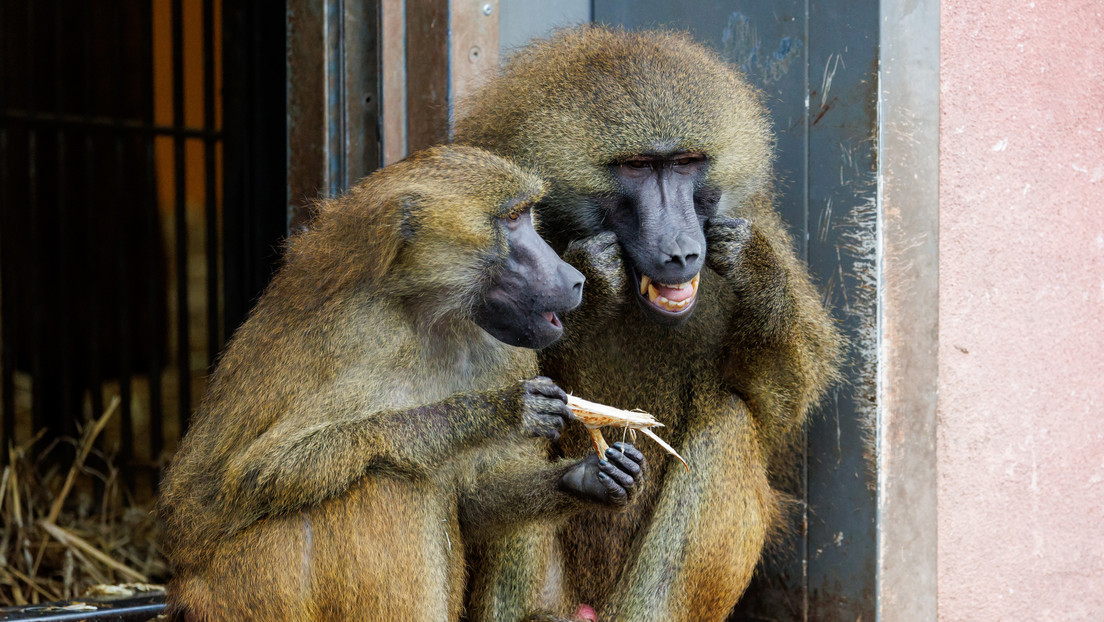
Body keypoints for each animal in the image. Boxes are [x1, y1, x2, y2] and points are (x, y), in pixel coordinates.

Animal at [156, 145, 648, 622]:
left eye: (526, 214)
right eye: (511, 219)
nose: (575, 279)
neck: (426, 311)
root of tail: (182, 595)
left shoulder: (502, 348)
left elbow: (476, 497)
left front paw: (595, 477)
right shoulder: (360, 332)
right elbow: (255, 472)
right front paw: (497, 411)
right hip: (249, 589)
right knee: (386, 480)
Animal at [453, 27, 843, 622]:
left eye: (684, 164)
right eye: (637, 167)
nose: (681, 252)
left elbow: (778, 408)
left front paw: (753, 266)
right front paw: (594, 280)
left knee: (729, 419)